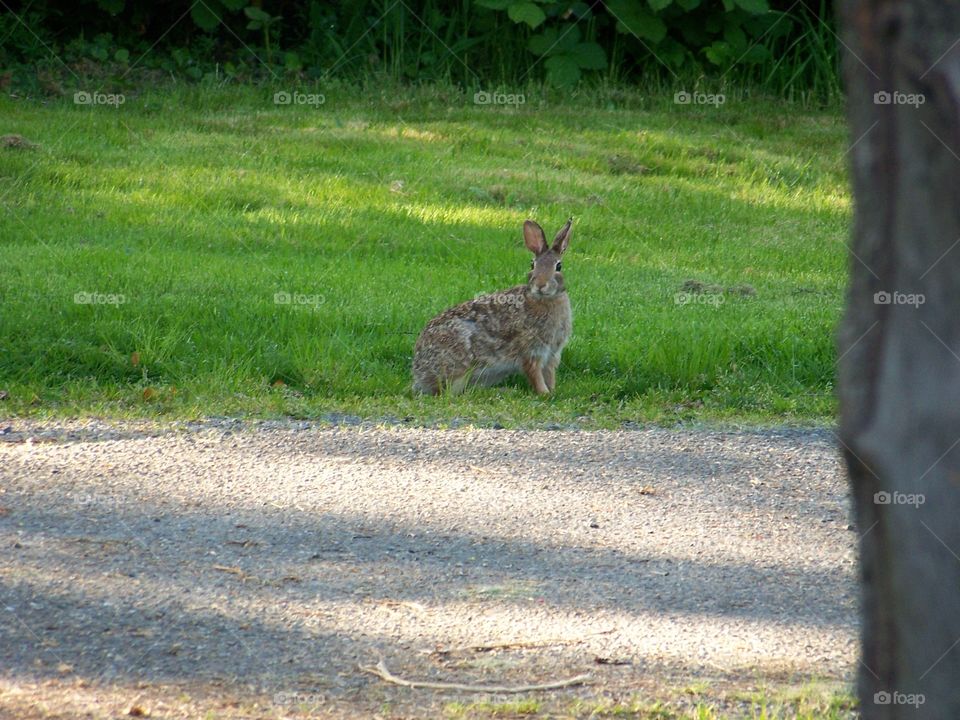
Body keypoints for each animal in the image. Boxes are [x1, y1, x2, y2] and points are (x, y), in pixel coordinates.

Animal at [412, 218, 573, 395]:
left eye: (559, 266)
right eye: (532, 265)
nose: (540, 285)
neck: (545, 299)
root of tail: (418, 370)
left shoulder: (552, 354)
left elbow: (549, 374)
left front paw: (552, 391)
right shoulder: (531, 352)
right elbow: (535, 375)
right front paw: (545, 394)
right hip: (459, 363)